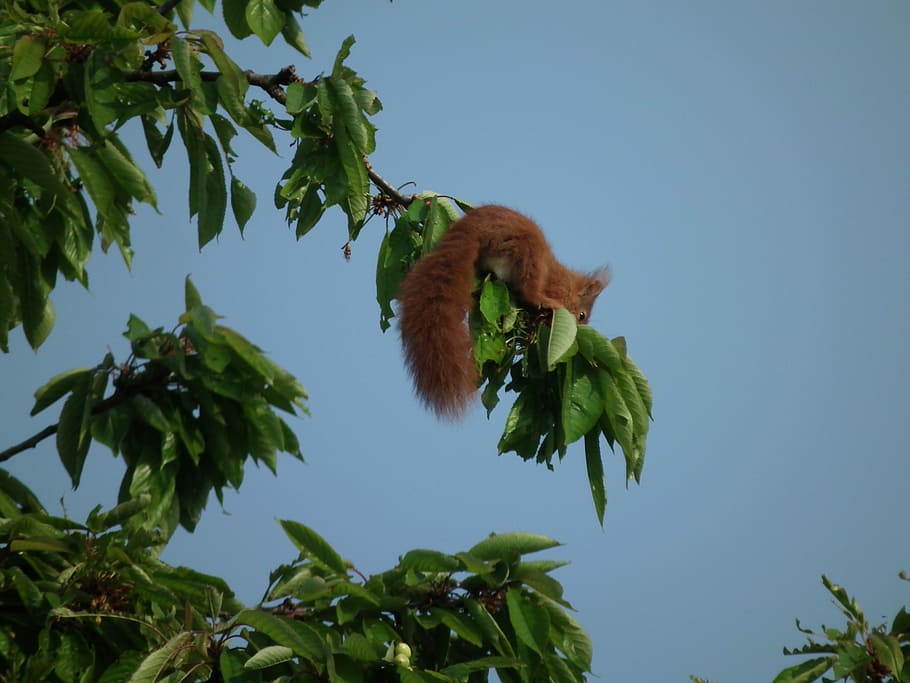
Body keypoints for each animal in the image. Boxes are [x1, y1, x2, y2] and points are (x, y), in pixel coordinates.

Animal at [397, 205, 609, 419]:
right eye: (582, 315)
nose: (578, 331)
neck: (566, 285)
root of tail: (474, 228)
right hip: (527, 253)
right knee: (529, 288)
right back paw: (547, 302)